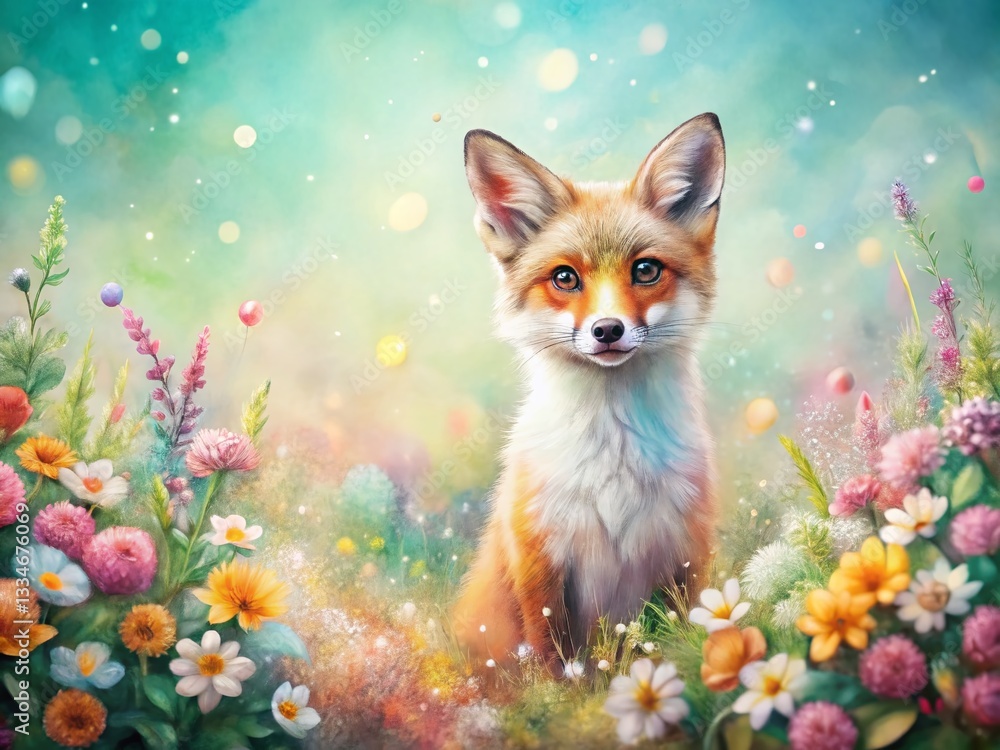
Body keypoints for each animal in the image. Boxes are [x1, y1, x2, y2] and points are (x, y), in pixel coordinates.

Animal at [451, 113, 725, 670]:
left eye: (646, 269)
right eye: (565, 277)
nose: (607, 330)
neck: (613, 461)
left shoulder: (686, 553)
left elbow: (679, 636)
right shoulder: (539, 561)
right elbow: (554, 661)